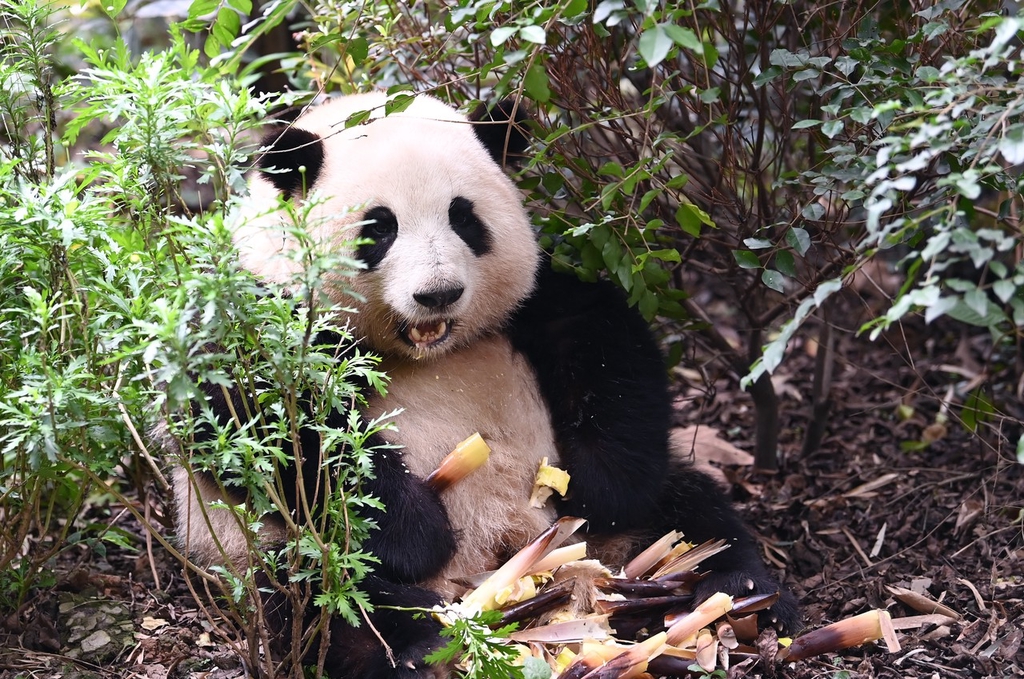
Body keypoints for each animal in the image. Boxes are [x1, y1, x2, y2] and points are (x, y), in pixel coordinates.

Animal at [172, 93, 798, 675]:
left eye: (463, 217)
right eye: (380, 227)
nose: (438, 293)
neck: (426, 351)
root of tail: (505, 561)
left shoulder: (536, 301)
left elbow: (605, 344)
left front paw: (598, 484)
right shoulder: (254, 312)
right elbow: (264, 422)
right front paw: (414, 531)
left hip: (619, 530)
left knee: (690, 507)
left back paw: (737, 592)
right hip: (259, 549)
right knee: (323, 591)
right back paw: (418, 645)